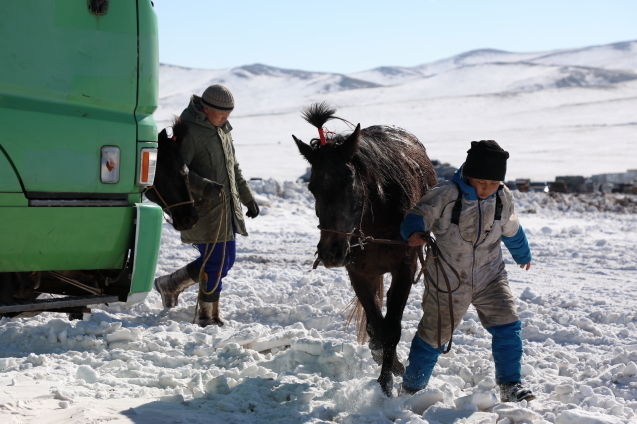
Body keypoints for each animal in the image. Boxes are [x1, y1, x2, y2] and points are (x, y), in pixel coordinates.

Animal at [294, 103, 438, 398]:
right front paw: (387, 368)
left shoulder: (404, 269)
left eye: (349, 182)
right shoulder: (359, 274)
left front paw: (386, 384)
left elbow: (391, 329)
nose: (331, 252)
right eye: (312, 187)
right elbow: (378, 329)